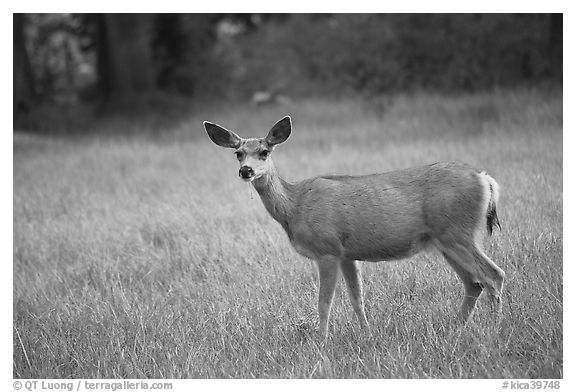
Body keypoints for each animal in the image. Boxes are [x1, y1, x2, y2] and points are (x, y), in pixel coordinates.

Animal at [202, 115, 504, 340]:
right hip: (446, 240)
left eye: (264, 152)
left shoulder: (327, 249)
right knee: (474, 283)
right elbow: (356, 298)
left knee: (493, 275)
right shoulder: (347, 254)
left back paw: (493, 329)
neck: (295, 205)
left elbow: (324, 302)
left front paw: (321, 340)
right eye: (238, 153)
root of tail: (486, 179)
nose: (246, 171)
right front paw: (367, 333)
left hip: (457, 232)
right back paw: (455, 327)